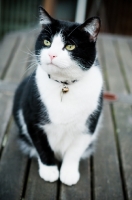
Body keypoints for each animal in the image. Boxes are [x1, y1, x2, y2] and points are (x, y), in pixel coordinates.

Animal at [12, 6, 103, 186]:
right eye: (47, 42)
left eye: (70, 46)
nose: (51, 54)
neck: (64, 85)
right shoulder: (32, 118)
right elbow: (42, 147)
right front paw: (49, 171)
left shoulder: (88, 126)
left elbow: (74, 151)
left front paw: (68, 173)